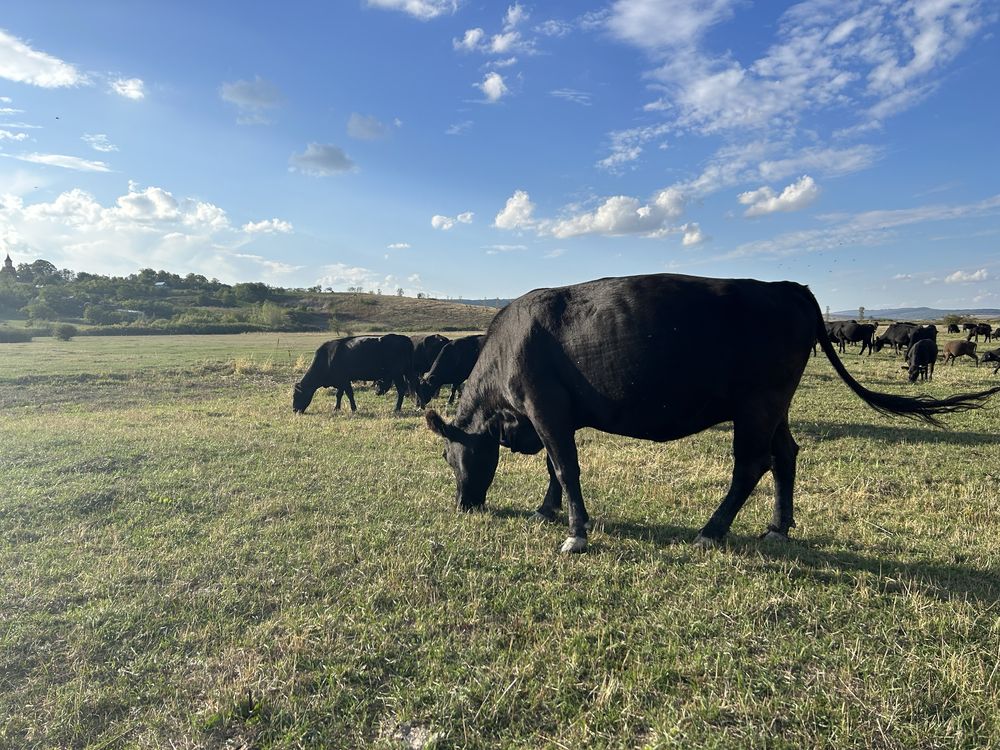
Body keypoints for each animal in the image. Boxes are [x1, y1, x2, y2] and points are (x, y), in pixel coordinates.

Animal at [424, 274, 1000, 556]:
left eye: (453, 458)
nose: (463, 505)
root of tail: (789, 288)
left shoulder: (545, 407)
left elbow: (566, 468)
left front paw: (576, 533)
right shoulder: (556, 415)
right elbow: (554, 468)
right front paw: (549, 511)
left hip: (756, 404)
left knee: (752, 465)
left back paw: (710, 531)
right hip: (773, 405)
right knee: (786, 454)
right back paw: (777, 527)